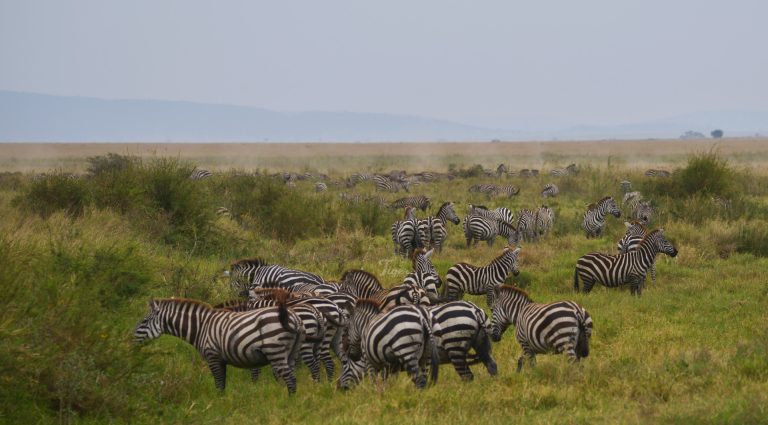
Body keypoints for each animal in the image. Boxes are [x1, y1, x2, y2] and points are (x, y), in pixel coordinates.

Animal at [133, 297, 305, 394]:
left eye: (144, 321)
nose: (132, 342)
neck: (202, 327)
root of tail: (295, 318)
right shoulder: (221, 359)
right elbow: (222, 383)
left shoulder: (213, 356)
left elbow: (219, 384)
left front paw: (218, 404)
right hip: (291, 354)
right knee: (293, 377)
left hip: (275, 351)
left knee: (291, 379)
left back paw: (289, 401)